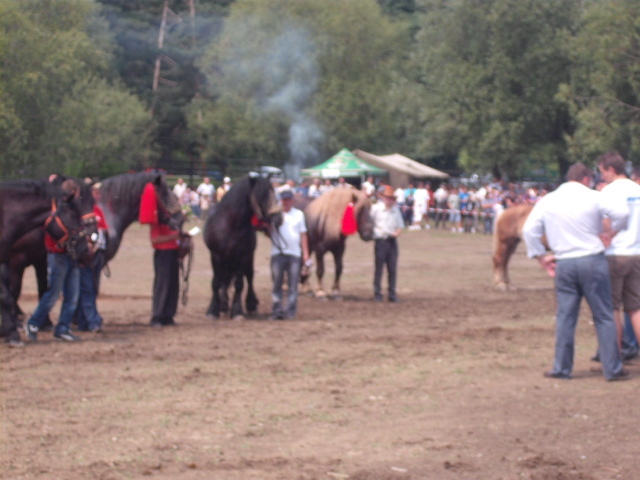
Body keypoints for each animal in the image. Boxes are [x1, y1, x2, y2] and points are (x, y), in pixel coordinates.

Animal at [0, 176, 97, 344]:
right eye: (73, 213)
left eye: (93, 200)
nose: (87, 246)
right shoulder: (18, 263)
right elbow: (11, 294)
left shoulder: (14, 262)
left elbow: (12, 294)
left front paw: (10, 332)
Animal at [7, 171, 182, 320]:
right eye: (165, 194)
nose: (180, 218)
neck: (109, 214)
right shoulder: (95, 260)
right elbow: (92, 290)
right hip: (17, 262)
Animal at [205, 172, 282, 318]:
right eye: (260, 194)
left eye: (273, 192)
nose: (278, 219)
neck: (230, 224)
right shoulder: (216, 255)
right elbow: (216, 283)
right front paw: (212, 310)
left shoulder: (242, 255)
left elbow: (239, 284)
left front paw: (237, 311)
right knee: (224, 280)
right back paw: (223, 305)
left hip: (246, 258)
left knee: (249, 277)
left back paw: (250, 304)